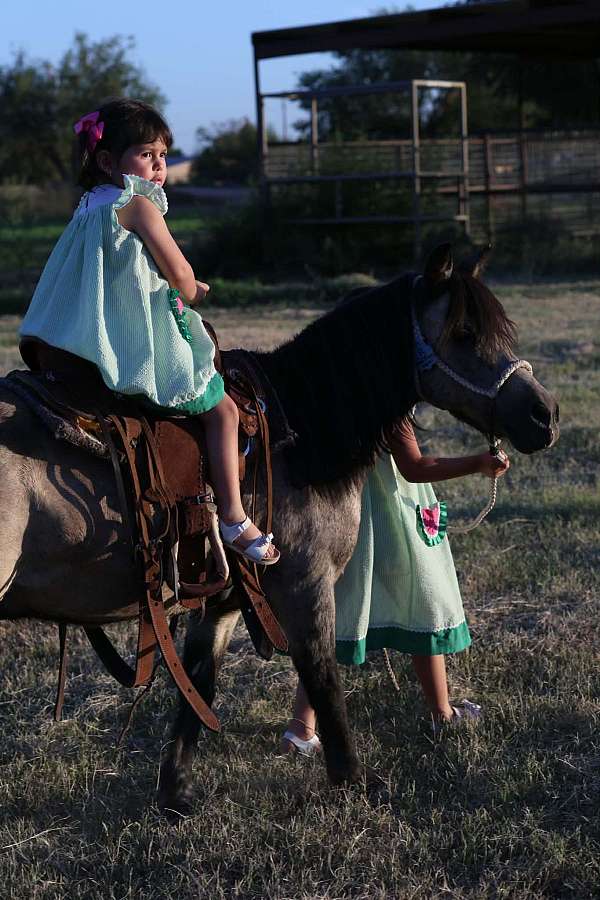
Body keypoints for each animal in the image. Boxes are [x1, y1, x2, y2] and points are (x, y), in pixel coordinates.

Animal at [0, 245, 559, 812]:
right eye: (464, 332)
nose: (545, 414)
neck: (300, 431)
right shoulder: (305, 584)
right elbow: (322, 673)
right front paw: (355, 778)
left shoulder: (222, 599)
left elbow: (198, 686)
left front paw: (176, 792)